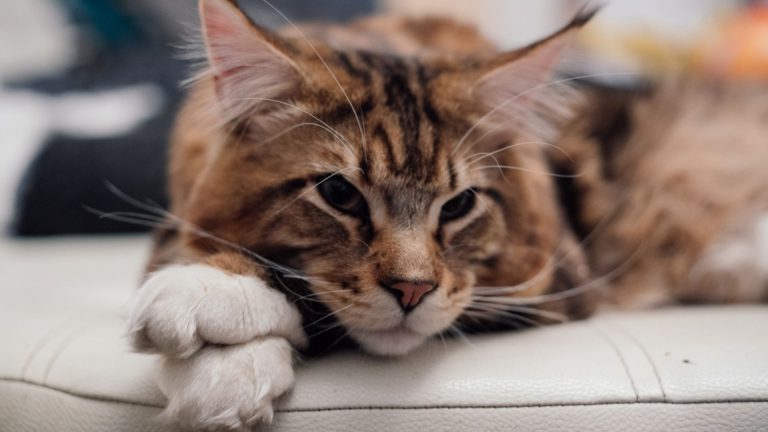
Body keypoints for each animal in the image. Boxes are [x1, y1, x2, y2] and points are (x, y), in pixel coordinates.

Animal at [126, 0, 768, 428]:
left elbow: (310, 300)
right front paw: (223, 360)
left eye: (459, 205)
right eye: (340, 195)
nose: (412, 291)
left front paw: (212, 345)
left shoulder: (554, 280)